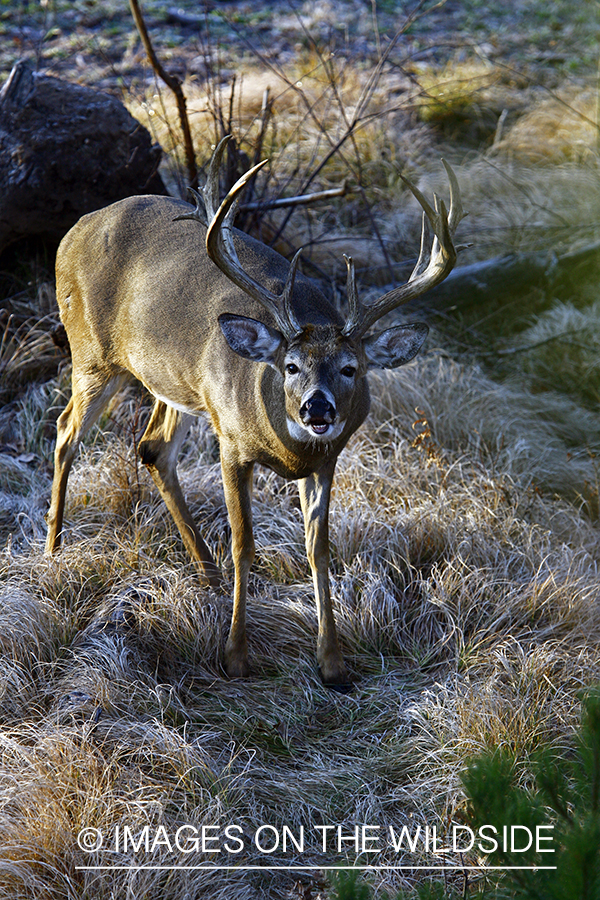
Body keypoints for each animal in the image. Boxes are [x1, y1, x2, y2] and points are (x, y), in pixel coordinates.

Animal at [47, 137, 466, 684]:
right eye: (290, 365)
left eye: (351, 368)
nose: (316, 408)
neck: (285, 448)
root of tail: (74, 230)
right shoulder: (231, 444)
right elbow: (245, 545)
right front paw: (236, 655)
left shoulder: (326, 461)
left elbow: (319, 550)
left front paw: (332, 661)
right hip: (92, 353)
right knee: (65, 432)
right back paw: (54, 553)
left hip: (174, 382)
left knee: (153, 447)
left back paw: (206, 573)